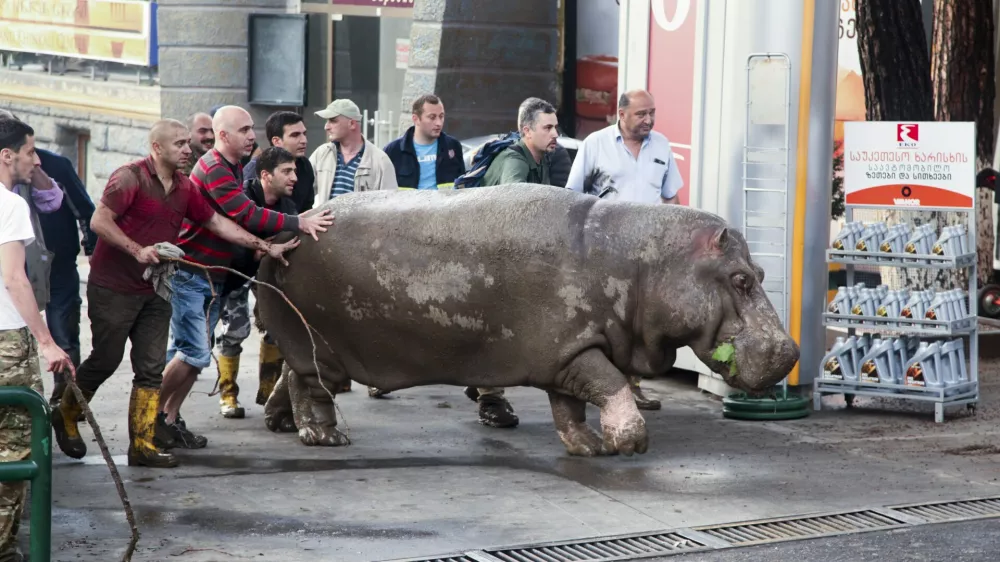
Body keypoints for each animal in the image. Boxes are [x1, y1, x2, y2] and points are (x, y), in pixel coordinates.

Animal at [254, 184, 799, 456]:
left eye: (762, 272)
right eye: (740, 279)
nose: (791, 351)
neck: (644, 261)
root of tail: (287, 231)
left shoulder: (569, 352)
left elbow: (572, 406)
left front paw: (590, 447)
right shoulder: (578, 350)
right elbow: (610, 385)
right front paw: (631, 444)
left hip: (315, 346)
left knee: (288, 376)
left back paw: (279, 424)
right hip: (319, 346)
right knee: (308, 387)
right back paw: (323, 438)